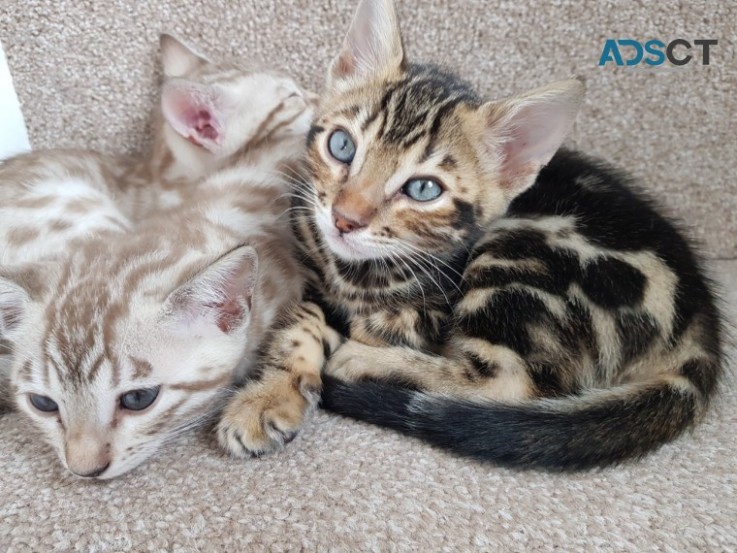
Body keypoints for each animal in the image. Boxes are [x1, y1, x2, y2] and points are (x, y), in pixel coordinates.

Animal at [218, 0, 724, 468]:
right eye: (341, 145)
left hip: (522, 252)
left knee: (513, 383)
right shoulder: (311, 271)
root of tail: (701, 322)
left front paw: (352, 342)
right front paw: (267, 398)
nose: (345, 218)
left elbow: (378, 318)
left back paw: (363, 363)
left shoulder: (430, 307)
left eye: (423, 189)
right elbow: (302, 317)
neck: (351, 273)